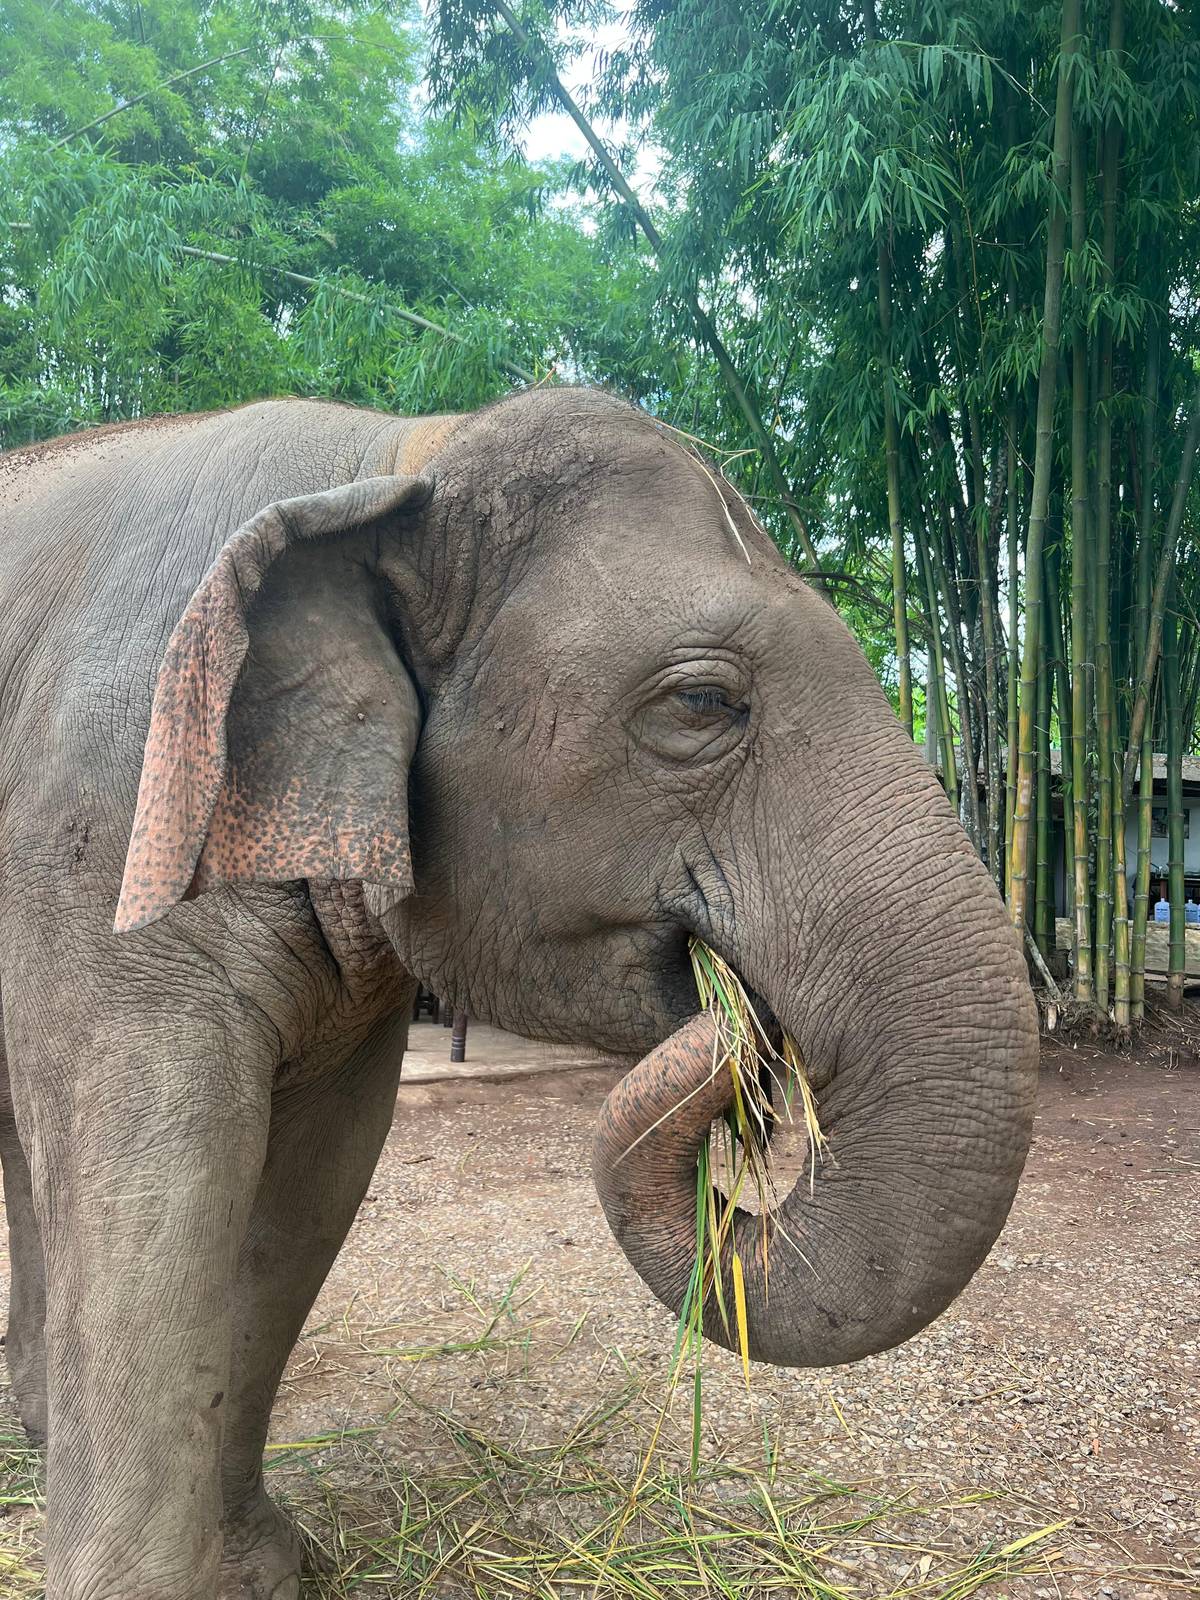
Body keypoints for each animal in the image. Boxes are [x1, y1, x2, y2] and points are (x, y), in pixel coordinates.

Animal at [0, 386, 1038, 1599]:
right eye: (702, 702)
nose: (735, 1014)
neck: (395, 454)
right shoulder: (107, 842)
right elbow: (155, 1188)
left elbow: (308, 1186)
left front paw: (265, 1566)